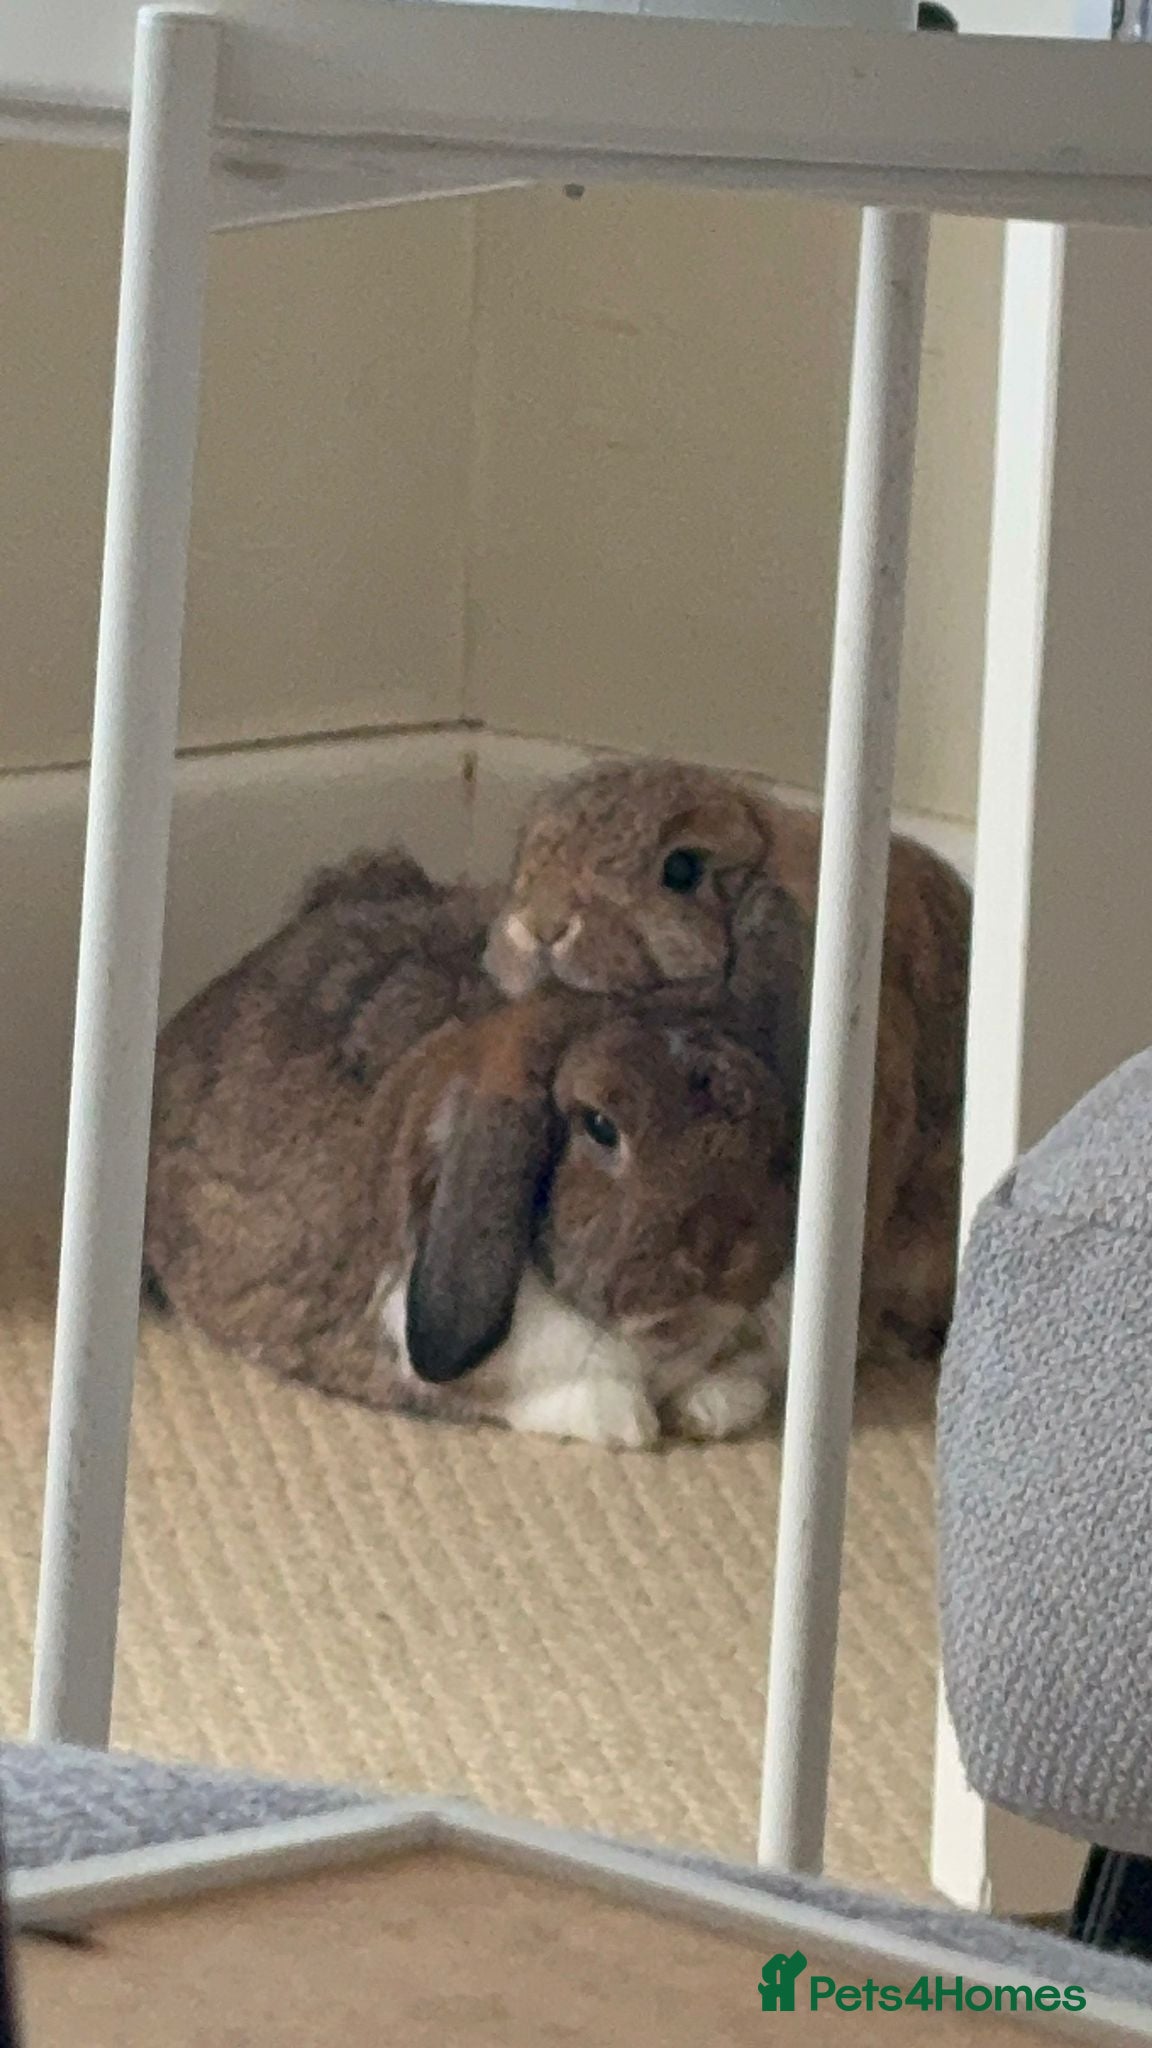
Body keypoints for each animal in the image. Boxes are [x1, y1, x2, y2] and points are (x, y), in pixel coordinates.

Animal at [144, 850, 798, 1449]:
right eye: (601, 1126)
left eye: (769, 1121)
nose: (722, 1251)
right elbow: (594, 1407)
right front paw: (632, 1420)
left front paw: (714, 1405)